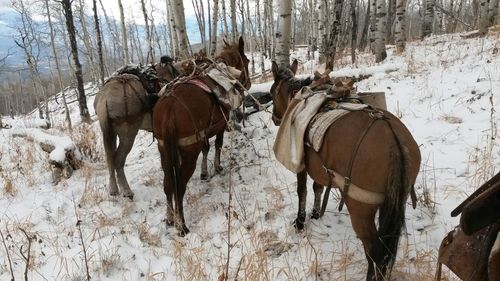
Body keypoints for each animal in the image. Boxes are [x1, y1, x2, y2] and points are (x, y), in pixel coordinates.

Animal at [94, 60, 179, 198]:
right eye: (173, 70)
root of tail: (104, 98)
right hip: (128, 134)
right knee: (118, 160)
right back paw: (126, 191)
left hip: (109, 131)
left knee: (110, 157)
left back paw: (113, 189)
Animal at [270, 60, 422, 278]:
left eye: (272, 93)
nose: (275, 118)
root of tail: (395, 143)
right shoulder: (321, 168)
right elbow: (318, 188)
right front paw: (316, 214)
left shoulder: (302, 164)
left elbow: (302, 190)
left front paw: (300, 222)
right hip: (392, 203)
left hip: (360, 210)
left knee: (373, 252)